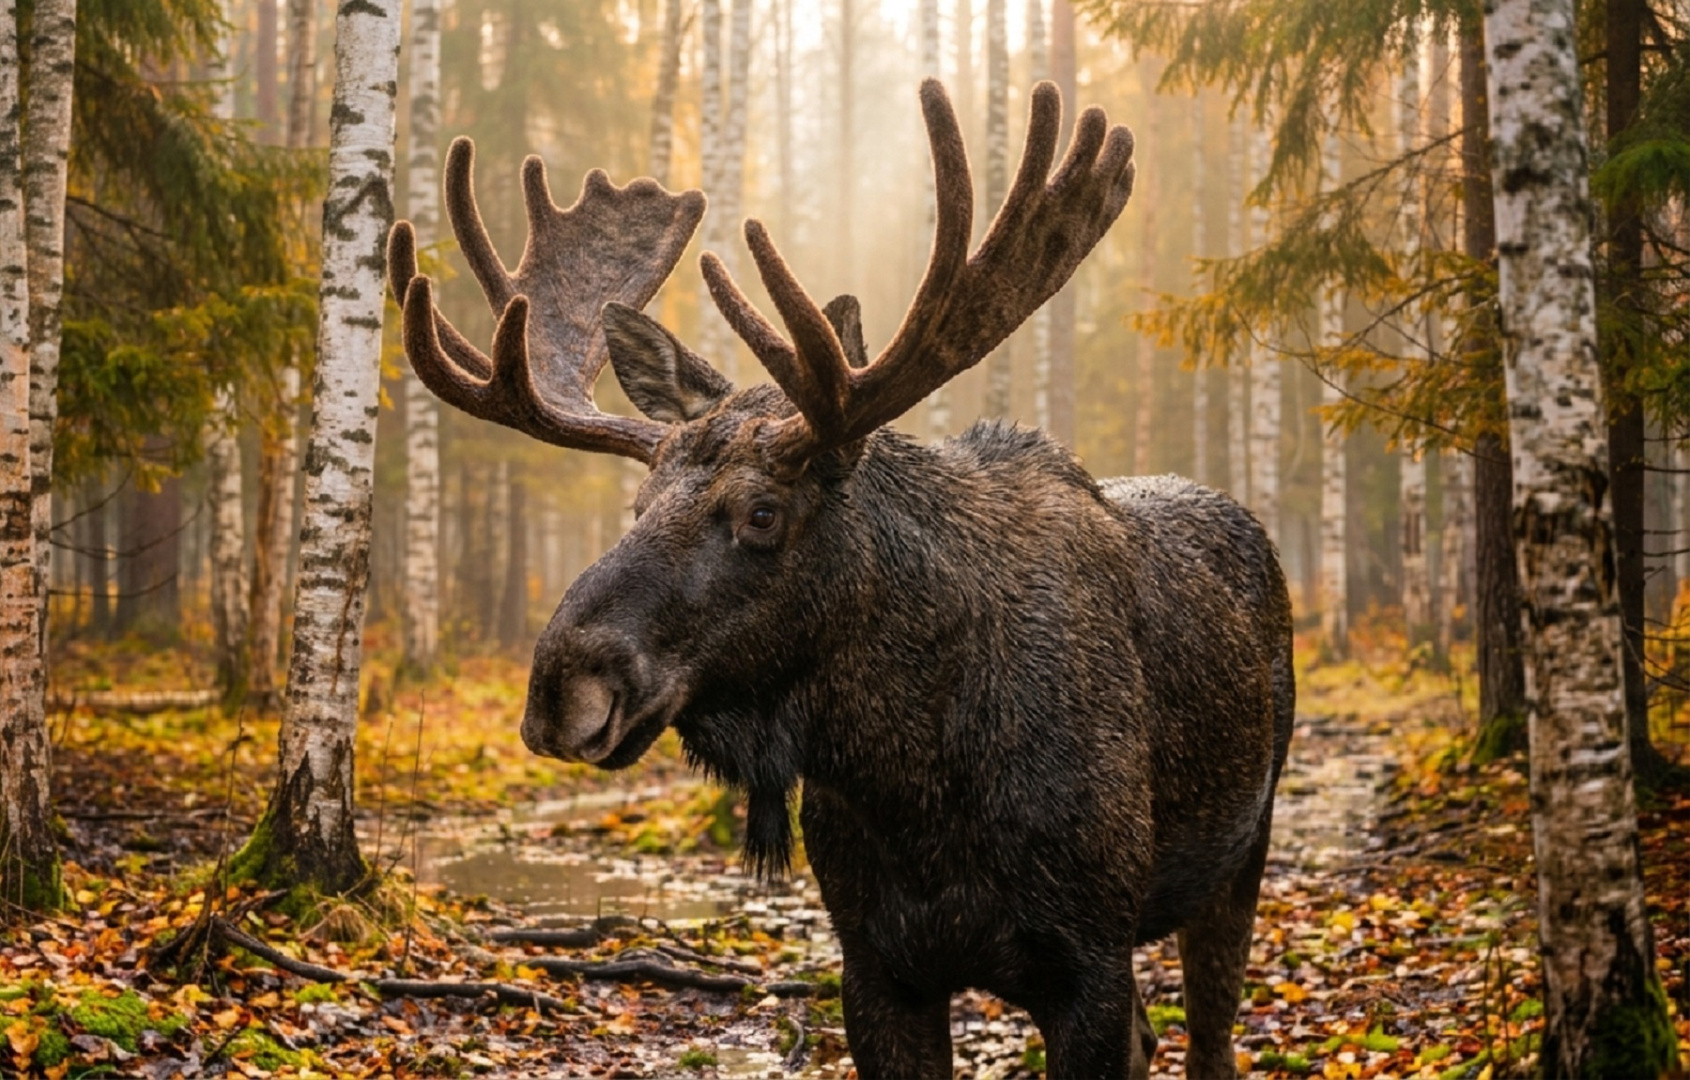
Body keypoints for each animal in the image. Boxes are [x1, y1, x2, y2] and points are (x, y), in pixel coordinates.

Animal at [388, 79, 1294, 1080]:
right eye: (638, 503)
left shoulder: (1087, 957)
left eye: (762, 513)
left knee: (1210, 1037)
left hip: (1241, 851)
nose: (559, 686)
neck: (914, 779)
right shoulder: (875, 965)